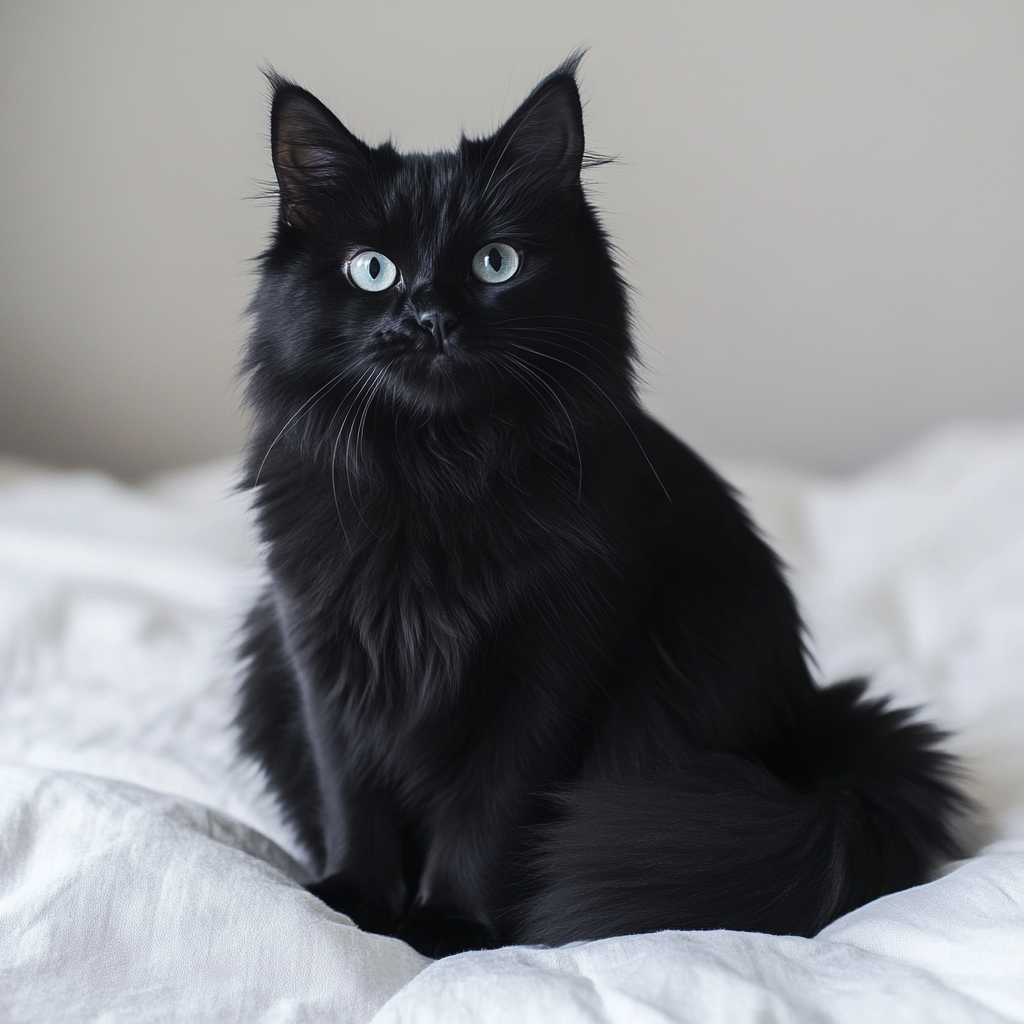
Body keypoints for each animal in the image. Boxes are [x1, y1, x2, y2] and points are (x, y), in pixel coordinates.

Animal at [235, 58, 962, 958]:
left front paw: (448, 926)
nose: (431, 318)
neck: (437, 475)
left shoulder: (553, 665)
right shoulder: (320, 653)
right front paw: (354, 905)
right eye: (372, 270)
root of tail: (802, 735)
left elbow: (485, 813)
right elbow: (352, 795)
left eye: (497, 263)